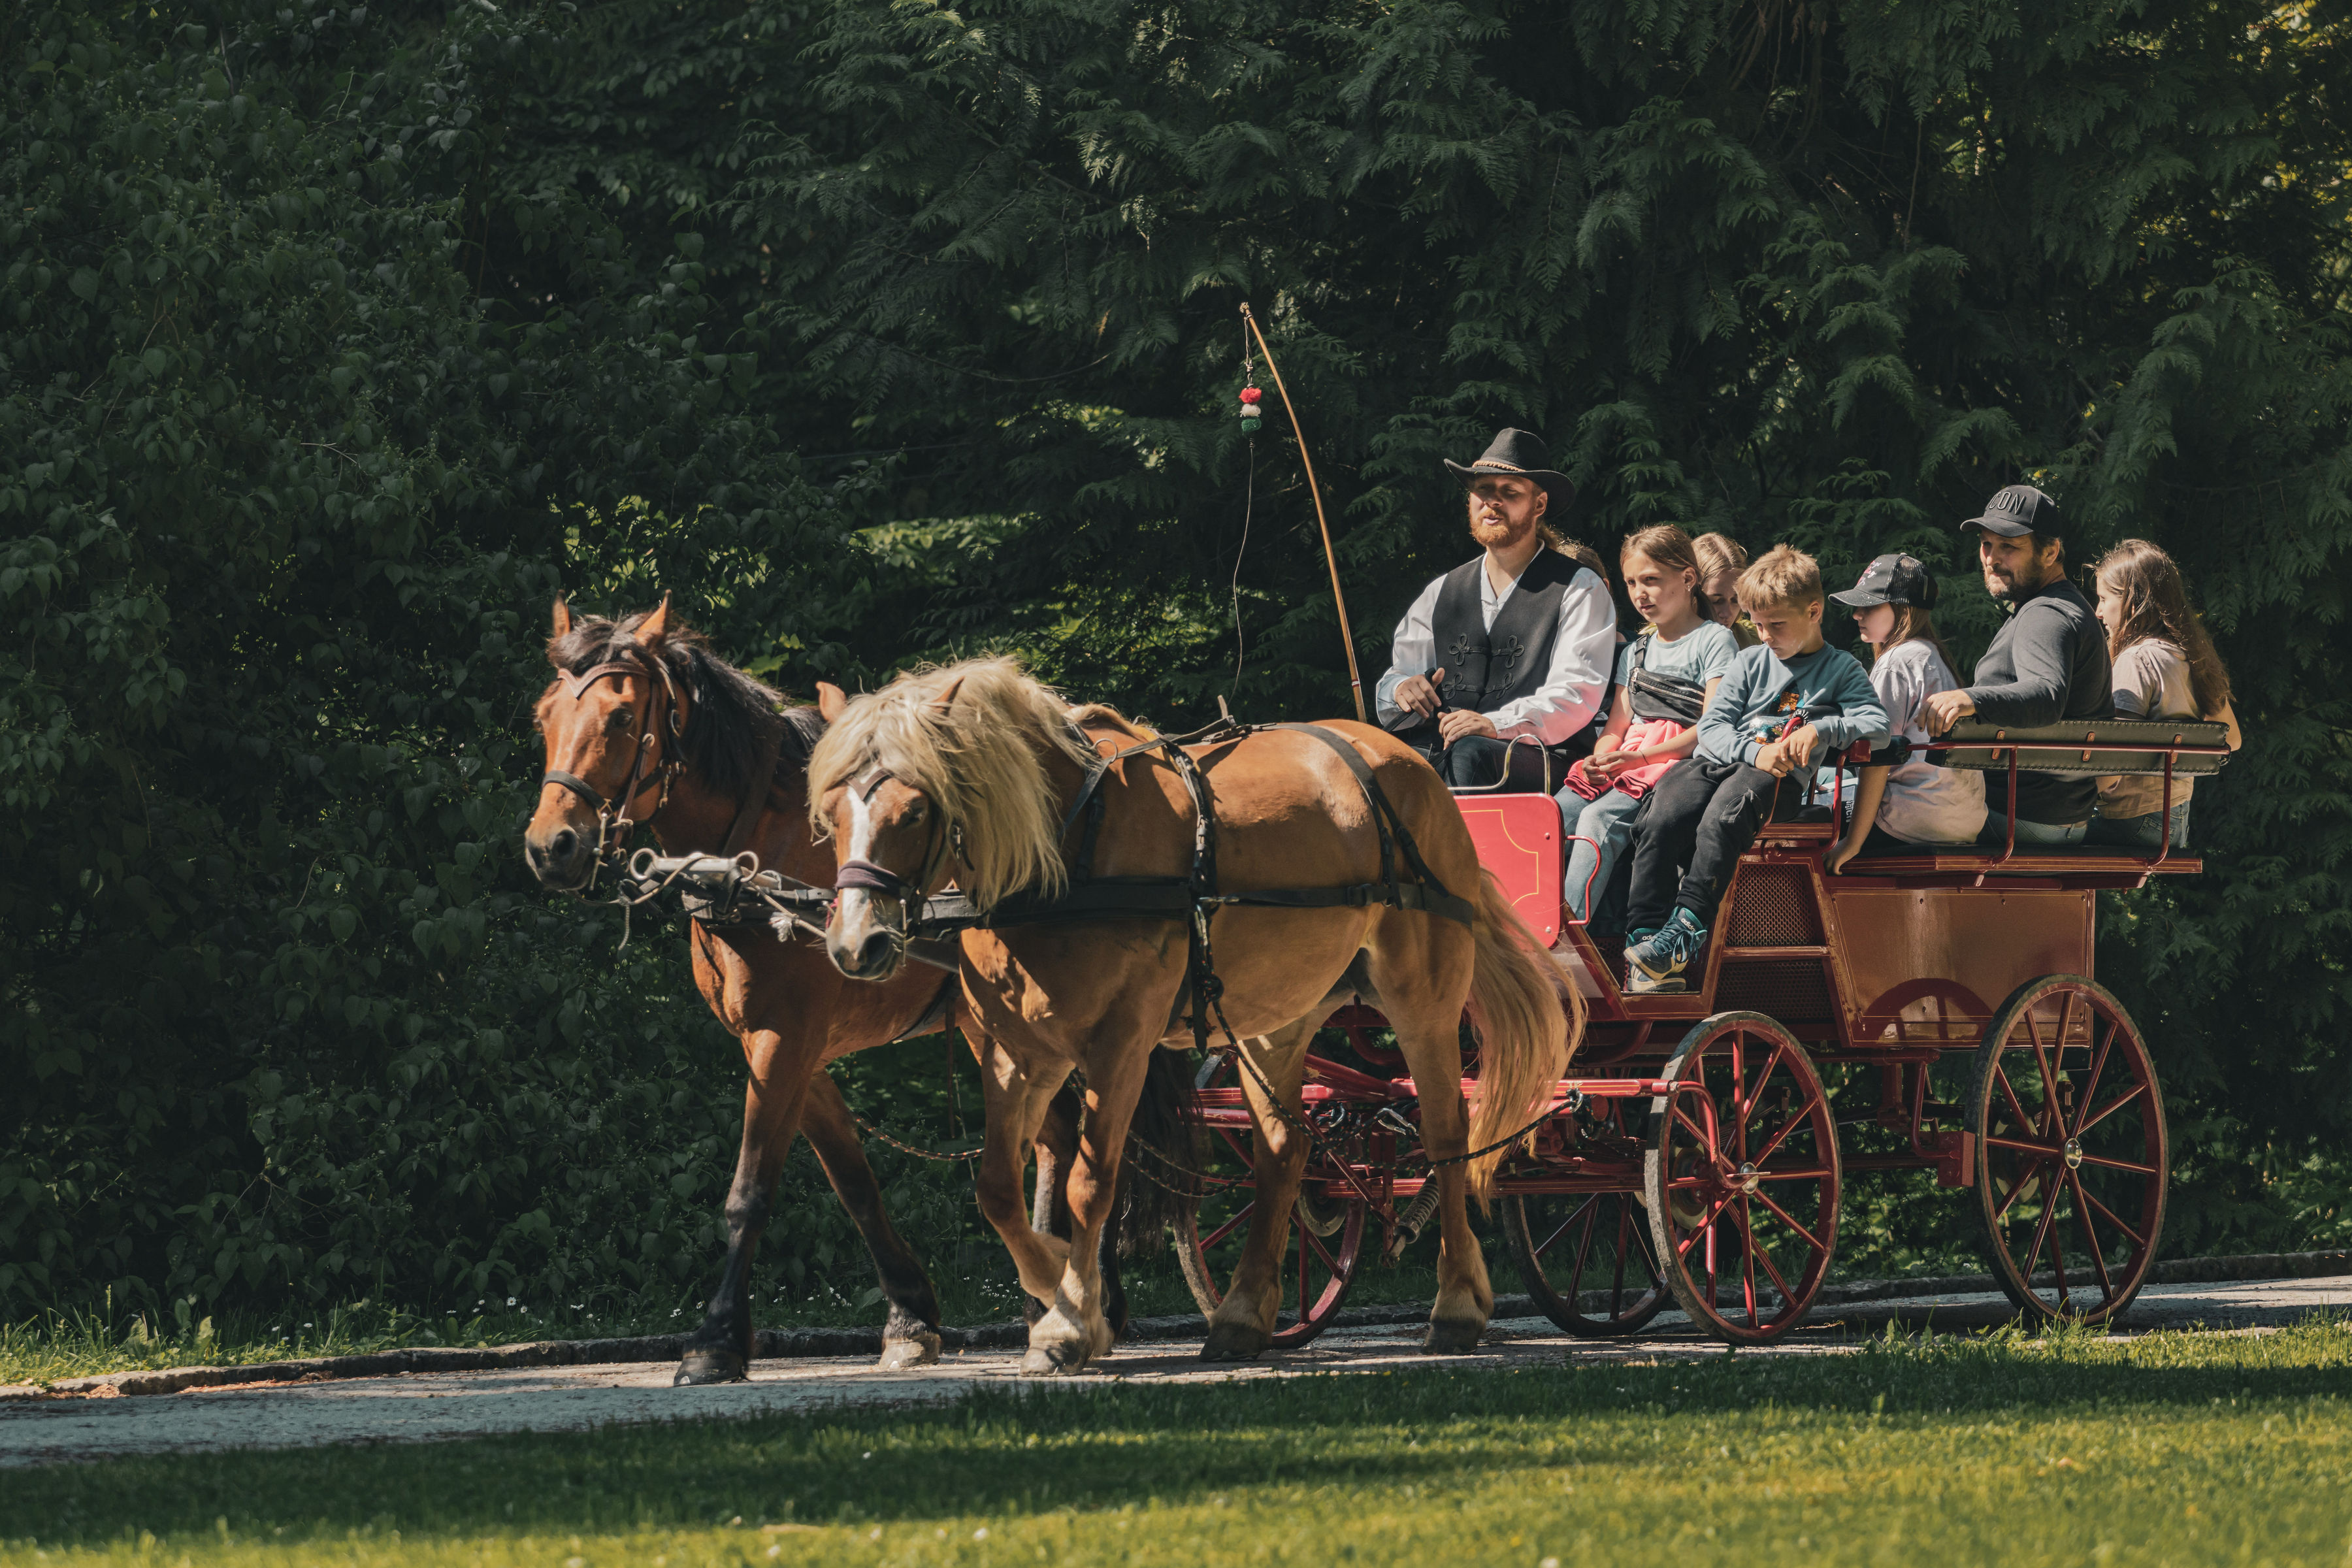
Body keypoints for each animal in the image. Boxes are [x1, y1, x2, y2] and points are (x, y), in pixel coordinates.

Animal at [527, 602, 973, 1382]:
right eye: (544, 715)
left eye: (620, 717)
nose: (551, 845)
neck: (759, 860)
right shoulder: (791, 1048)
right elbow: (853, 1180)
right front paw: (911, 1317)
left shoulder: (784, 1039)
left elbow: (749, 1191)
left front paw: (716, 1339)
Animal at [809, 658, 1580, 1373]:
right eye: (831, 815)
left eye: (914, 810)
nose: (855, 945)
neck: (1065, 852)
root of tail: (1416, 768)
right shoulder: (1016, 1052)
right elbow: (997, 1189)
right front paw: (1064, 1295)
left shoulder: (1120, 1042)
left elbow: (1090, 1182)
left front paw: (1070, 1322)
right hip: (1277, 1017)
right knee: (1284, 1150)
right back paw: (1241, 1317)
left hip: (1423, 997)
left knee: (1448, 1133)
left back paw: (1456, 1306)